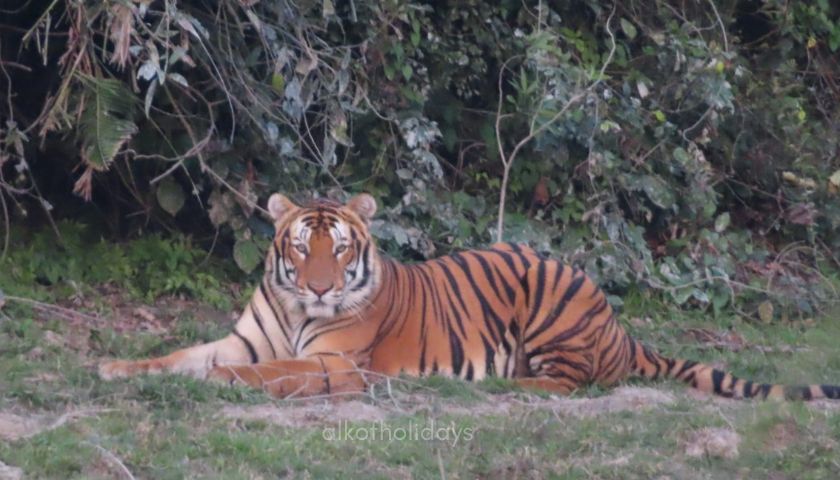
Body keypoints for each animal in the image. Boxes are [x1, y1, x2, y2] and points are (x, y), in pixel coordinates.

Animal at [98, 193, 840, 400]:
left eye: (340, 249)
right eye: (300, 248)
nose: (320, 286)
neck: (294, 306)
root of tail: (619, 328)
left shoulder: (339, 364)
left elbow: (274, 370)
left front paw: (230, 382)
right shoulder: (243, 337)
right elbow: (179, 355)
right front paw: (112, 365)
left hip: (552, 297)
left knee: (572, 383)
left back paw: (510, 385)